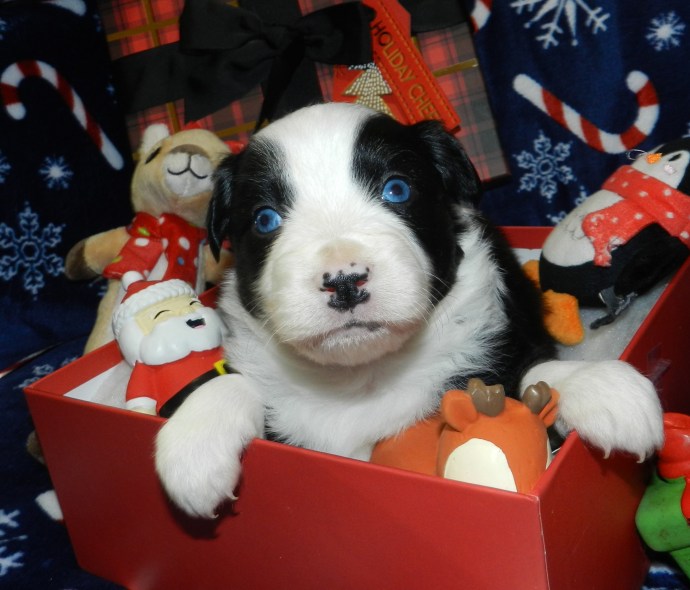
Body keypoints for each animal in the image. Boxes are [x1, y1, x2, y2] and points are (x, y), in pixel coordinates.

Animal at [154, 103, 664, 518]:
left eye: (396, 190)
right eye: (265, 219)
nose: (345, 280)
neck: (362, 377)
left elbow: (533, 370)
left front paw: (603, 388)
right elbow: (231, 381)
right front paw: (193, 447)